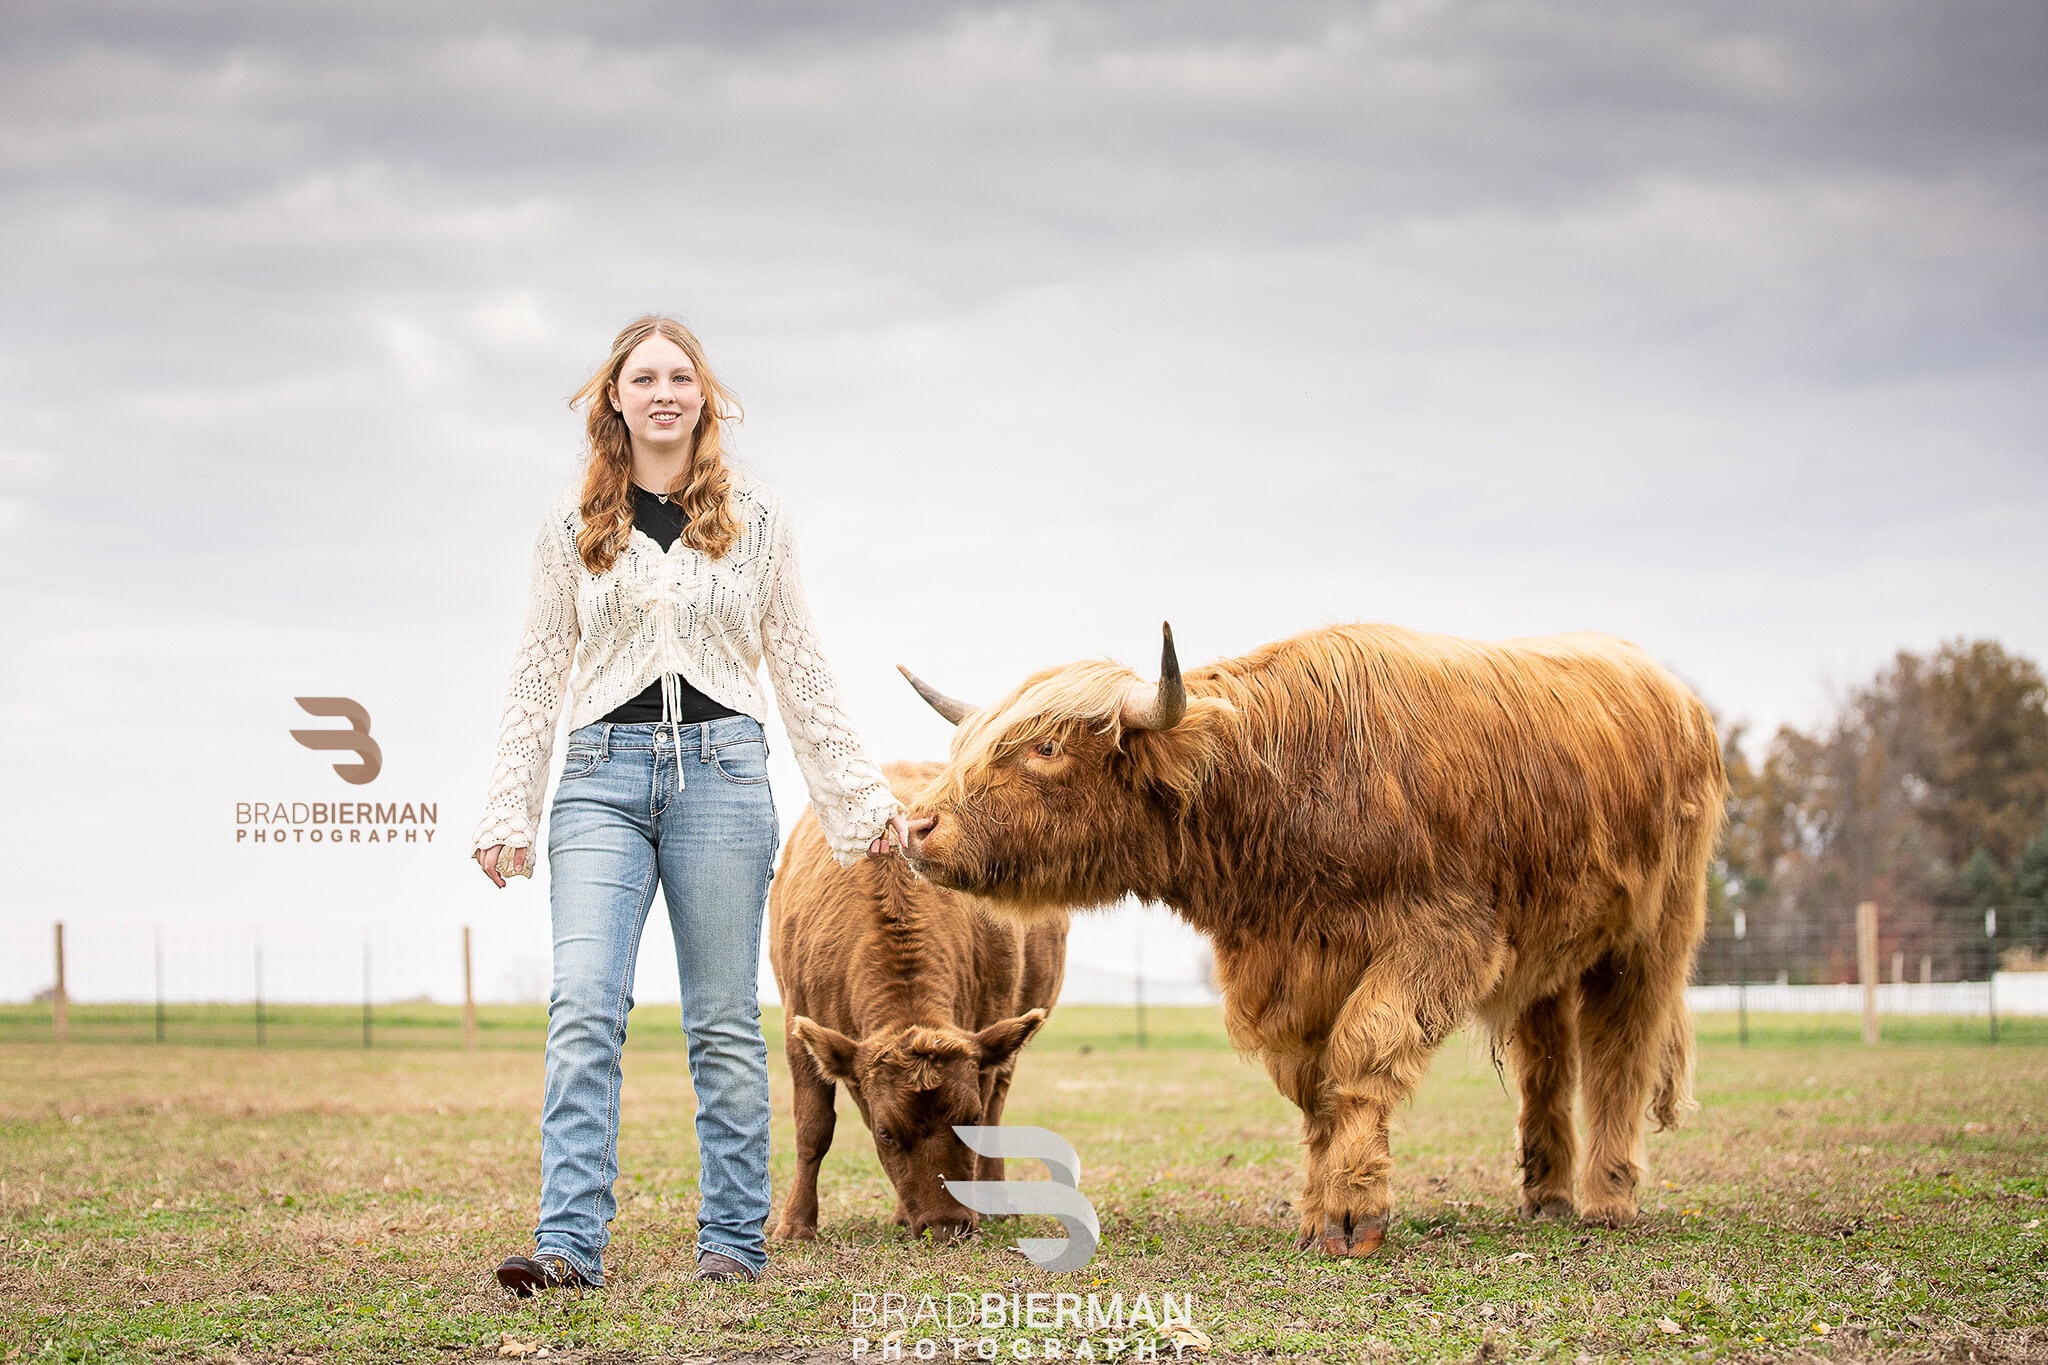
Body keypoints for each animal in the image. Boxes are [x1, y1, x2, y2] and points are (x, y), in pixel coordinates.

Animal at [770, 760, 1068, 1244]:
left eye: (967, 1120)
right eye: (887, 1134)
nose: (946, 1226)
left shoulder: (990, 1025)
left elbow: (989, 1115)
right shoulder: (801, 1027)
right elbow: (813, 1129)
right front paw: (796, 1224)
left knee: (1000, 1104)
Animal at [896, 623, 1724, 1257]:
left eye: (1044, 749)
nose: (917, 824)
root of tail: (1668, 686)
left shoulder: (1443, 938)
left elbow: (1363, 1051)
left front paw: (1356, 1213)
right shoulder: (1289, 973)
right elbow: (1315, 1087)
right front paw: (1318, 1210)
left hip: (1652, 934)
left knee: (1622, 1051)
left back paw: (1608, 1197)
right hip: (1548, 951)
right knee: (1548, 1060)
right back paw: (1547, 1193)